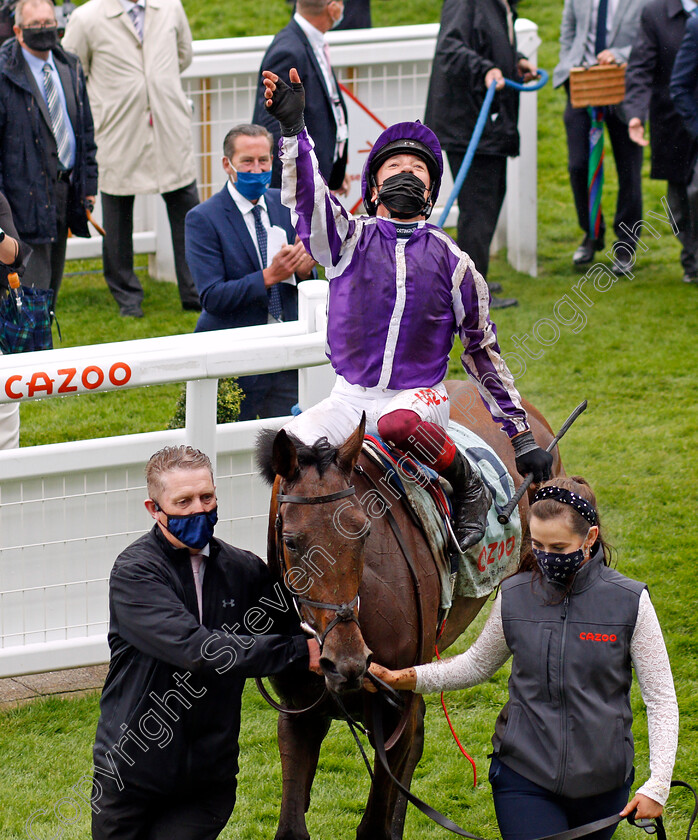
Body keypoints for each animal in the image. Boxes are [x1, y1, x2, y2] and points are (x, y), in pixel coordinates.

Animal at [256, 382, 560, 840]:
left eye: (363, 531)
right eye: (291, 541)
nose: (347, 661)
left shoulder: (395, 706)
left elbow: (375, 824)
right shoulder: (299, 711)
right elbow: (292, 827)